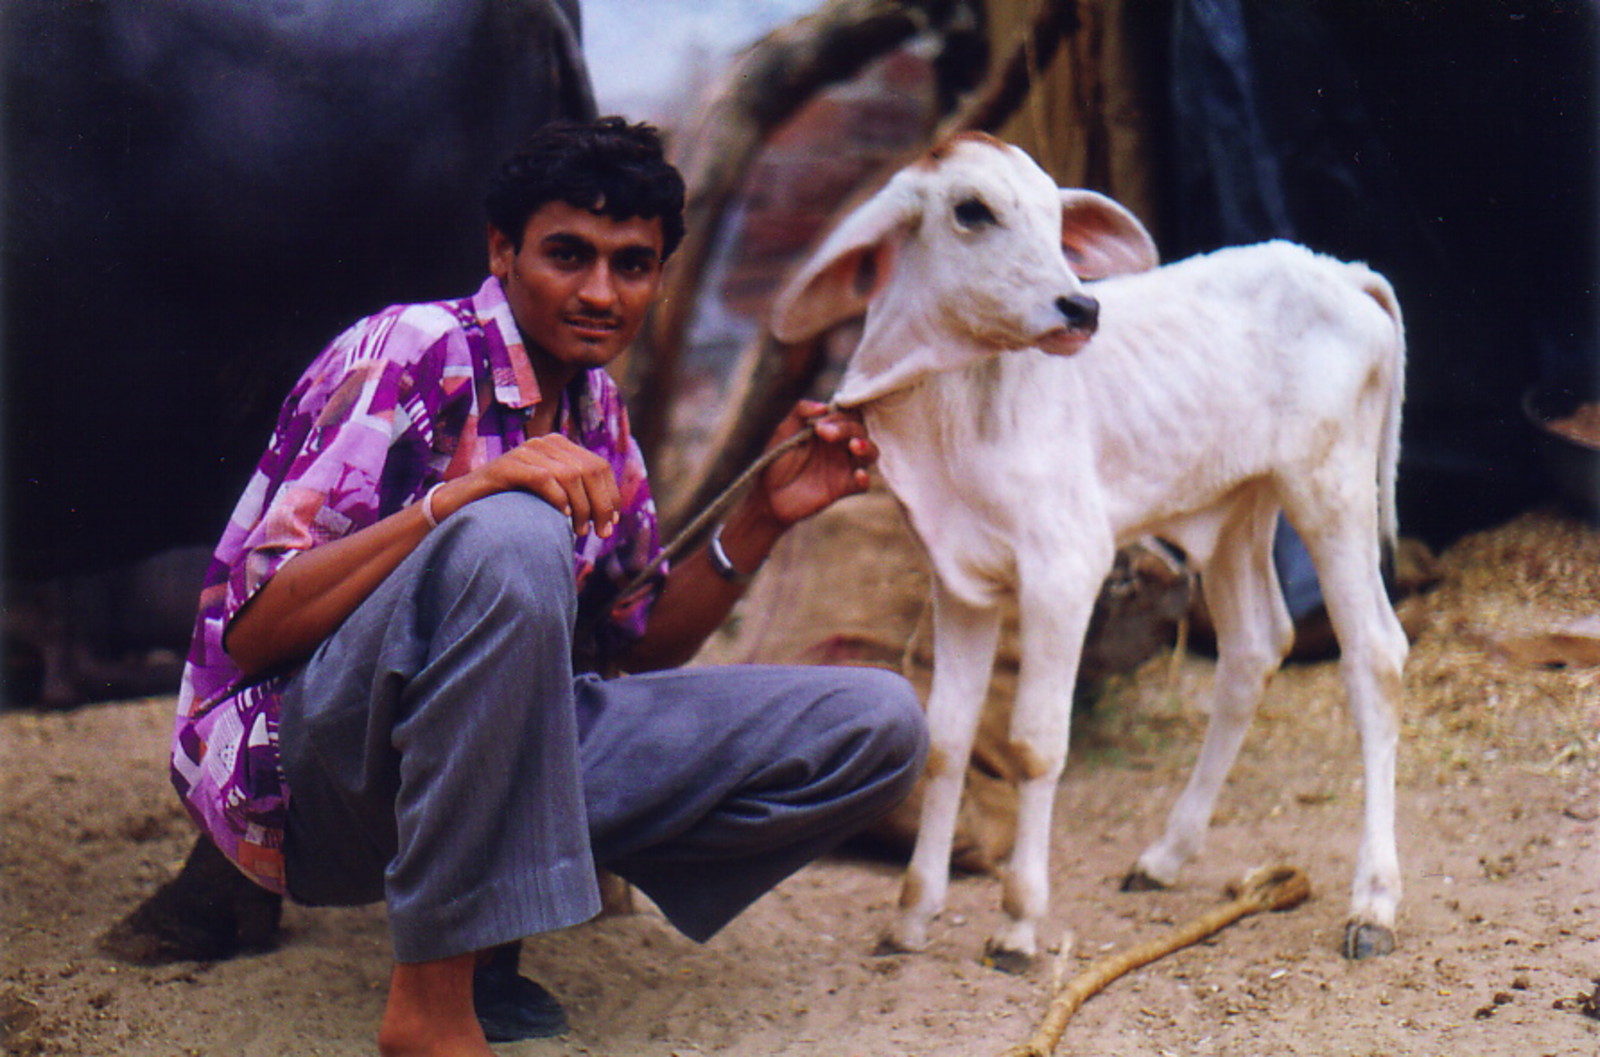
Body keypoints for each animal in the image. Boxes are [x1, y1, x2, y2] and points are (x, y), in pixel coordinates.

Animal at [768, 131, 1408, 965]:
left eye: (1054, 216)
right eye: (972, 210)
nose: (1081, 305)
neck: (950, 411)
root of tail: (1342, 271)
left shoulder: (1064, 570)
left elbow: (1036, 742)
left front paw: (1017, 921)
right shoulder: (958, 580)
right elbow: (946, 740)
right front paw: (911, 913)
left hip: (1331, 489)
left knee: (1374, 655)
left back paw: (1374, 901)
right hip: (1240, 505)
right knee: (1254, 645)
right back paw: (1165, 855)